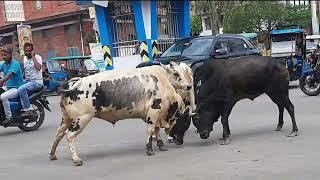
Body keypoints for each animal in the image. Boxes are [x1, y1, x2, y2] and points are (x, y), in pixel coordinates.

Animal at [48, 62, 191, 166]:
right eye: (176, 73)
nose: (188, 86)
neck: (162, 80)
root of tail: (73, 83)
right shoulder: (154, 112)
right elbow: (151, 130)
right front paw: (149, 149)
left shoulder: (156, 115)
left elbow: (156, 130)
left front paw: (161, 145)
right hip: (81, 119)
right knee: (69, 135)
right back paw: (76, 159)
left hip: (66, 119)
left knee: (58, 134)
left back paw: (52, 154)